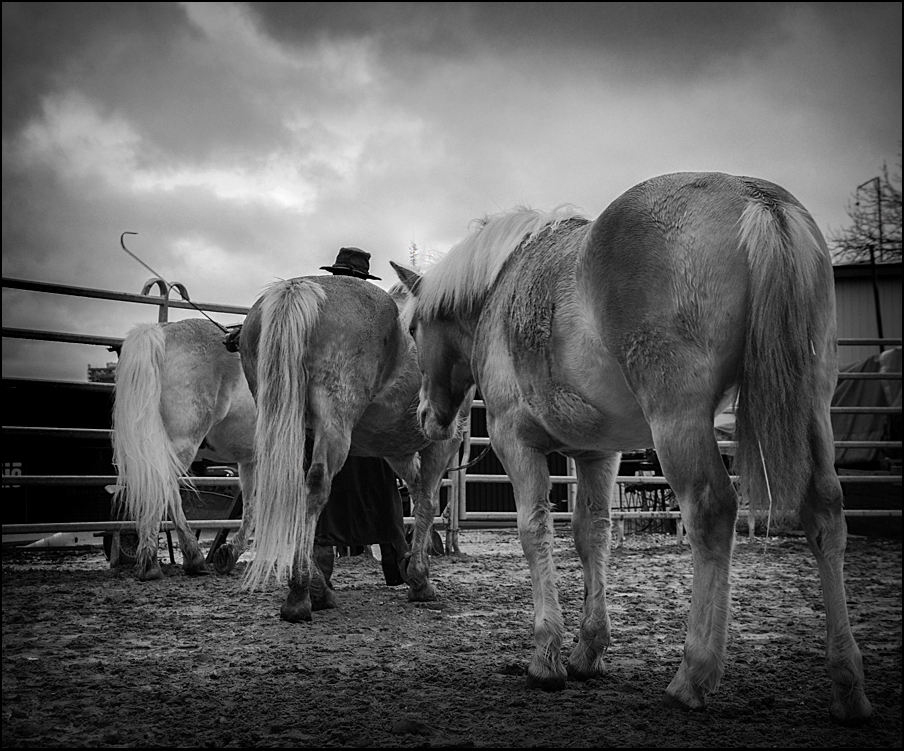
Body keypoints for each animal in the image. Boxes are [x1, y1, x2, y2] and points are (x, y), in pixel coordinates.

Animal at [112, 318, 258, 580]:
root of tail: (162, 332)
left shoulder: (249, 459)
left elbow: (250, 508)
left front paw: (230, 553)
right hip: (182, 444)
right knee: (164, 488)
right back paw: (164, 561)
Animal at [240, 274, 466, 620]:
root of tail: (298, 287)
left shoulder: (396, 451)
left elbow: (416, 495)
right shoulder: (443, 442)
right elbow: (427, 501)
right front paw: (420, 579)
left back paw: (317, 586)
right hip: (334, 427)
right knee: (315, 490)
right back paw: (302, 592)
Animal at [398, 173, 876, 724]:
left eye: (412, 328)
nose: (427, 418)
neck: (503, 287)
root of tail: (757, 199)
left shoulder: (514, 440)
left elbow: (535, 531)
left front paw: (546, 657)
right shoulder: (597, 455)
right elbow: (592, 535)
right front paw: (588, 651)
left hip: (678, 418)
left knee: (712, 512)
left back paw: (693, 675)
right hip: (812, 403)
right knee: (825, 512)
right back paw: (848, 685)